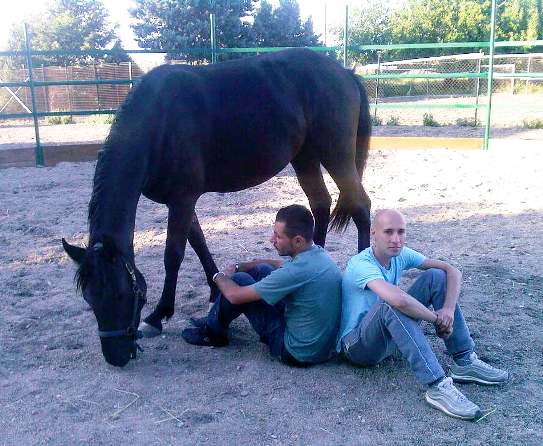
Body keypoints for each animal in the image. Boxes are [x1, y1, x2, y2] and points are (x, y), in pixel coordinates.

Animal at [61, 48, 372, 366]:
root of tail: (344, 72)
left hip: (336, 154)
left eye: (122, 296)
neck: (158, 123)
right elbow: (198, 242)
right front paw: (213, 287)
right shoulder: (180, 201)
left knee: (360, 205)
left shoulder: (183, 199)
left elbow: (173, 255)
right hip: (305, 157)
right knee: (320, 204)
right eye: (89, 299)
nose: (116, 357)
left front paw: (159, 315)